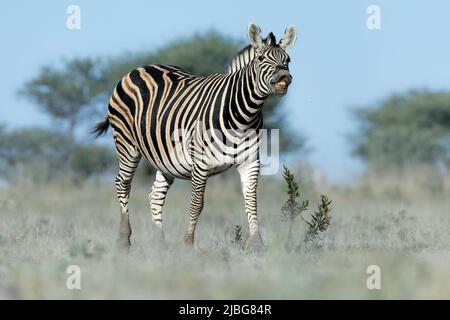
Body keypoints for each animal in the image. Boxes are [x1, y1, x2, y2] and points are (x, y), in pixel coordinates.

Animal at [92, 23, 298, 250]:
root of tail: (139, 69)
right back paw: (123, 238)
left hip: (165, 158)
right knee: (123, 183)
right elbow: (197, 203)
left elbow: (251, 202)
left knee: (155, 195)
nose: (284, 77)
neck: (243, 115)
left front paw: (257, 244)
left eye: (288, 60)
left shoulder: (250, 161)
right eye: (261, 58)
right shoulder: (200, 163)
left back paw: (160, 243)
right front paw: (188, 243)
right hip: (126, 143)